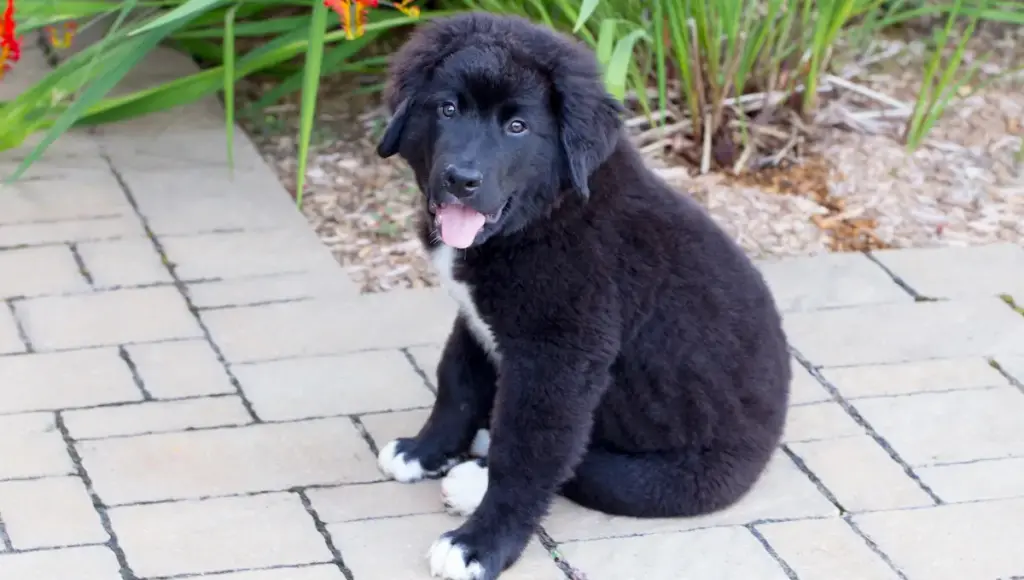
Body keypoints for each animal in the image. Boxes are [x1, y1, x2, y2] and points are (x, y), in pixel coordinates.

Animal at [372, 10, 786, 580]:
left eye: (517, 127)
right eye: (448, 108)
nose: (461, 180)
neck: (546, 214)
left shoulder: (559, 360)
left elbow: (526, 455)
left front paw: (480, 545)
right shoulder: (477, 319)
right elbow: (456, 384)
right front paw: (424, 451)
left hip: (671, 480)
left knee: (582, 466)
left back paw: (474, 479)